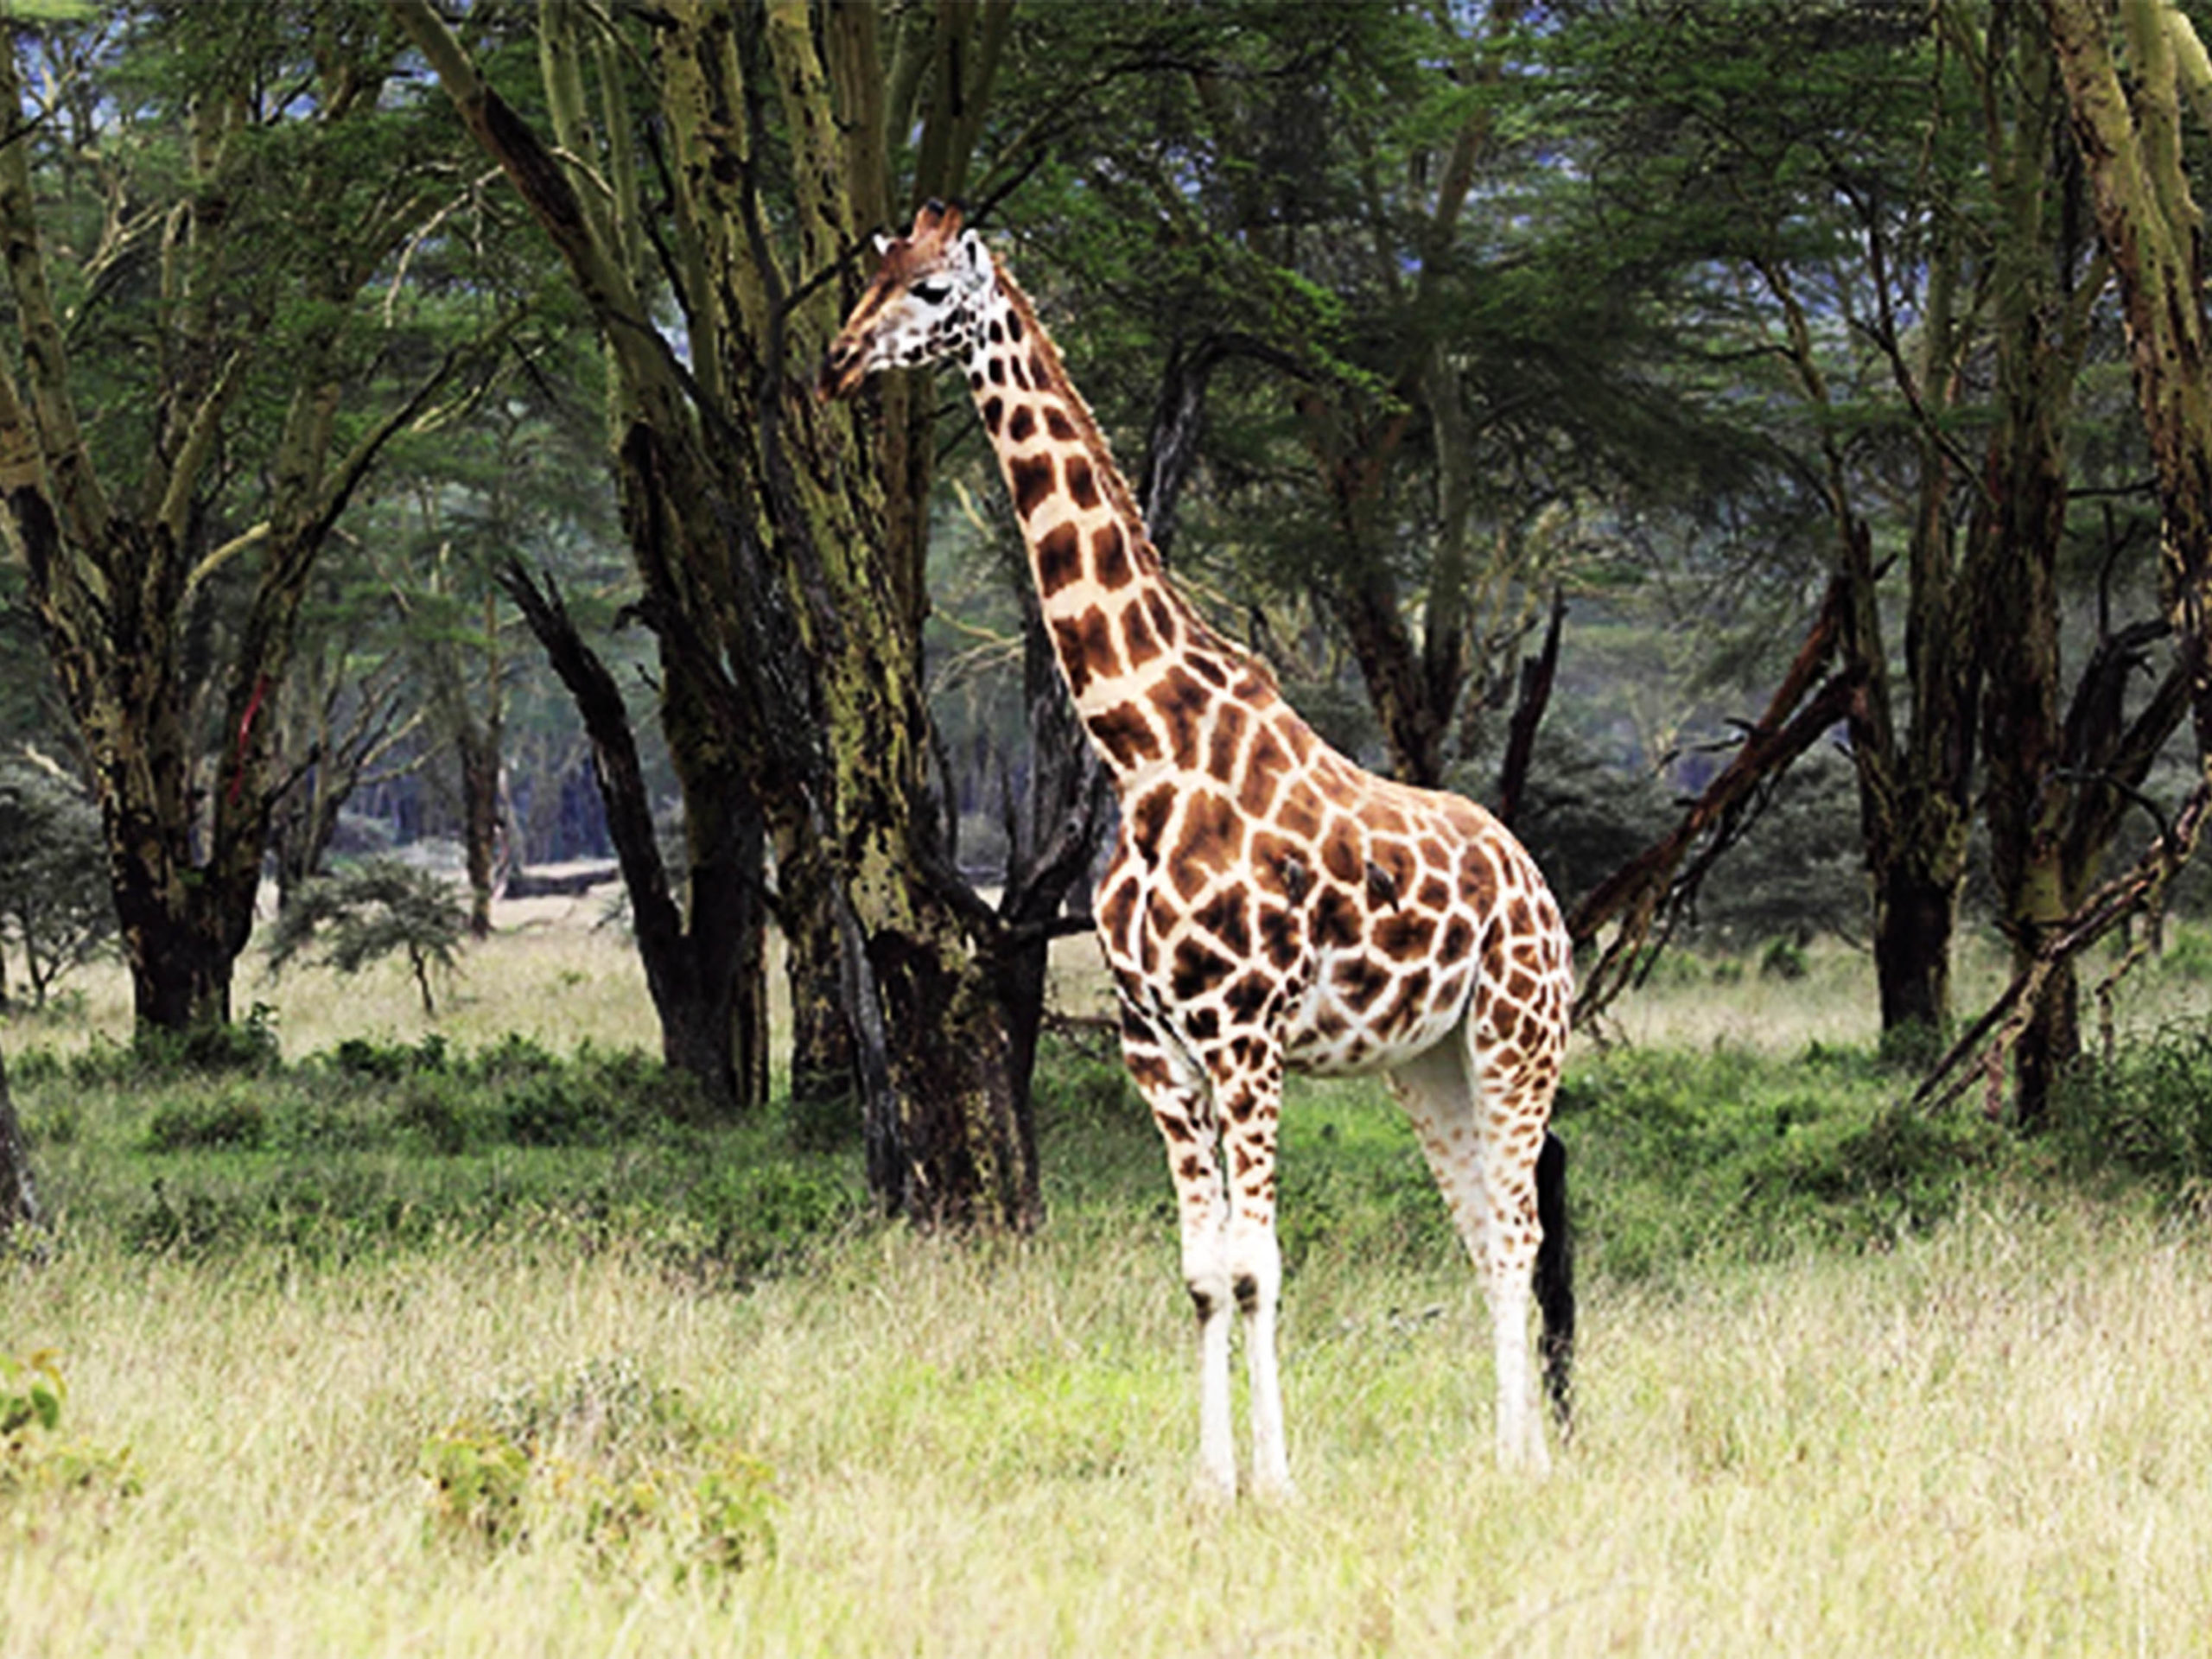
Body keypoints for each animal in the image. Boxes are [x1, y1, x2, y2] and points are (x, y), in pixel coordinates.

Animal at [820, 201, 1575, 1497]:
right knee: (1484, 1231)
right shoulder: (1157, 1047)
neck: (1141, 742)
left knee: (1521, 1228)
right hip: (1426, 1061)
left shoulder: (1244, 1039)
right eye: (873, 277)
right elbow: (1204, 1275)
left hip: (1517, 1038)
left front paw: (1275, 1480)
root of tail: (1540, 890)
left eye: (929, 292)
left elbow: (1260, 1266)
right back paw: (1501, 1451)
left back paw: (1522, 1462)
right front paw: (1211, 1480)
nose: (836, 359)